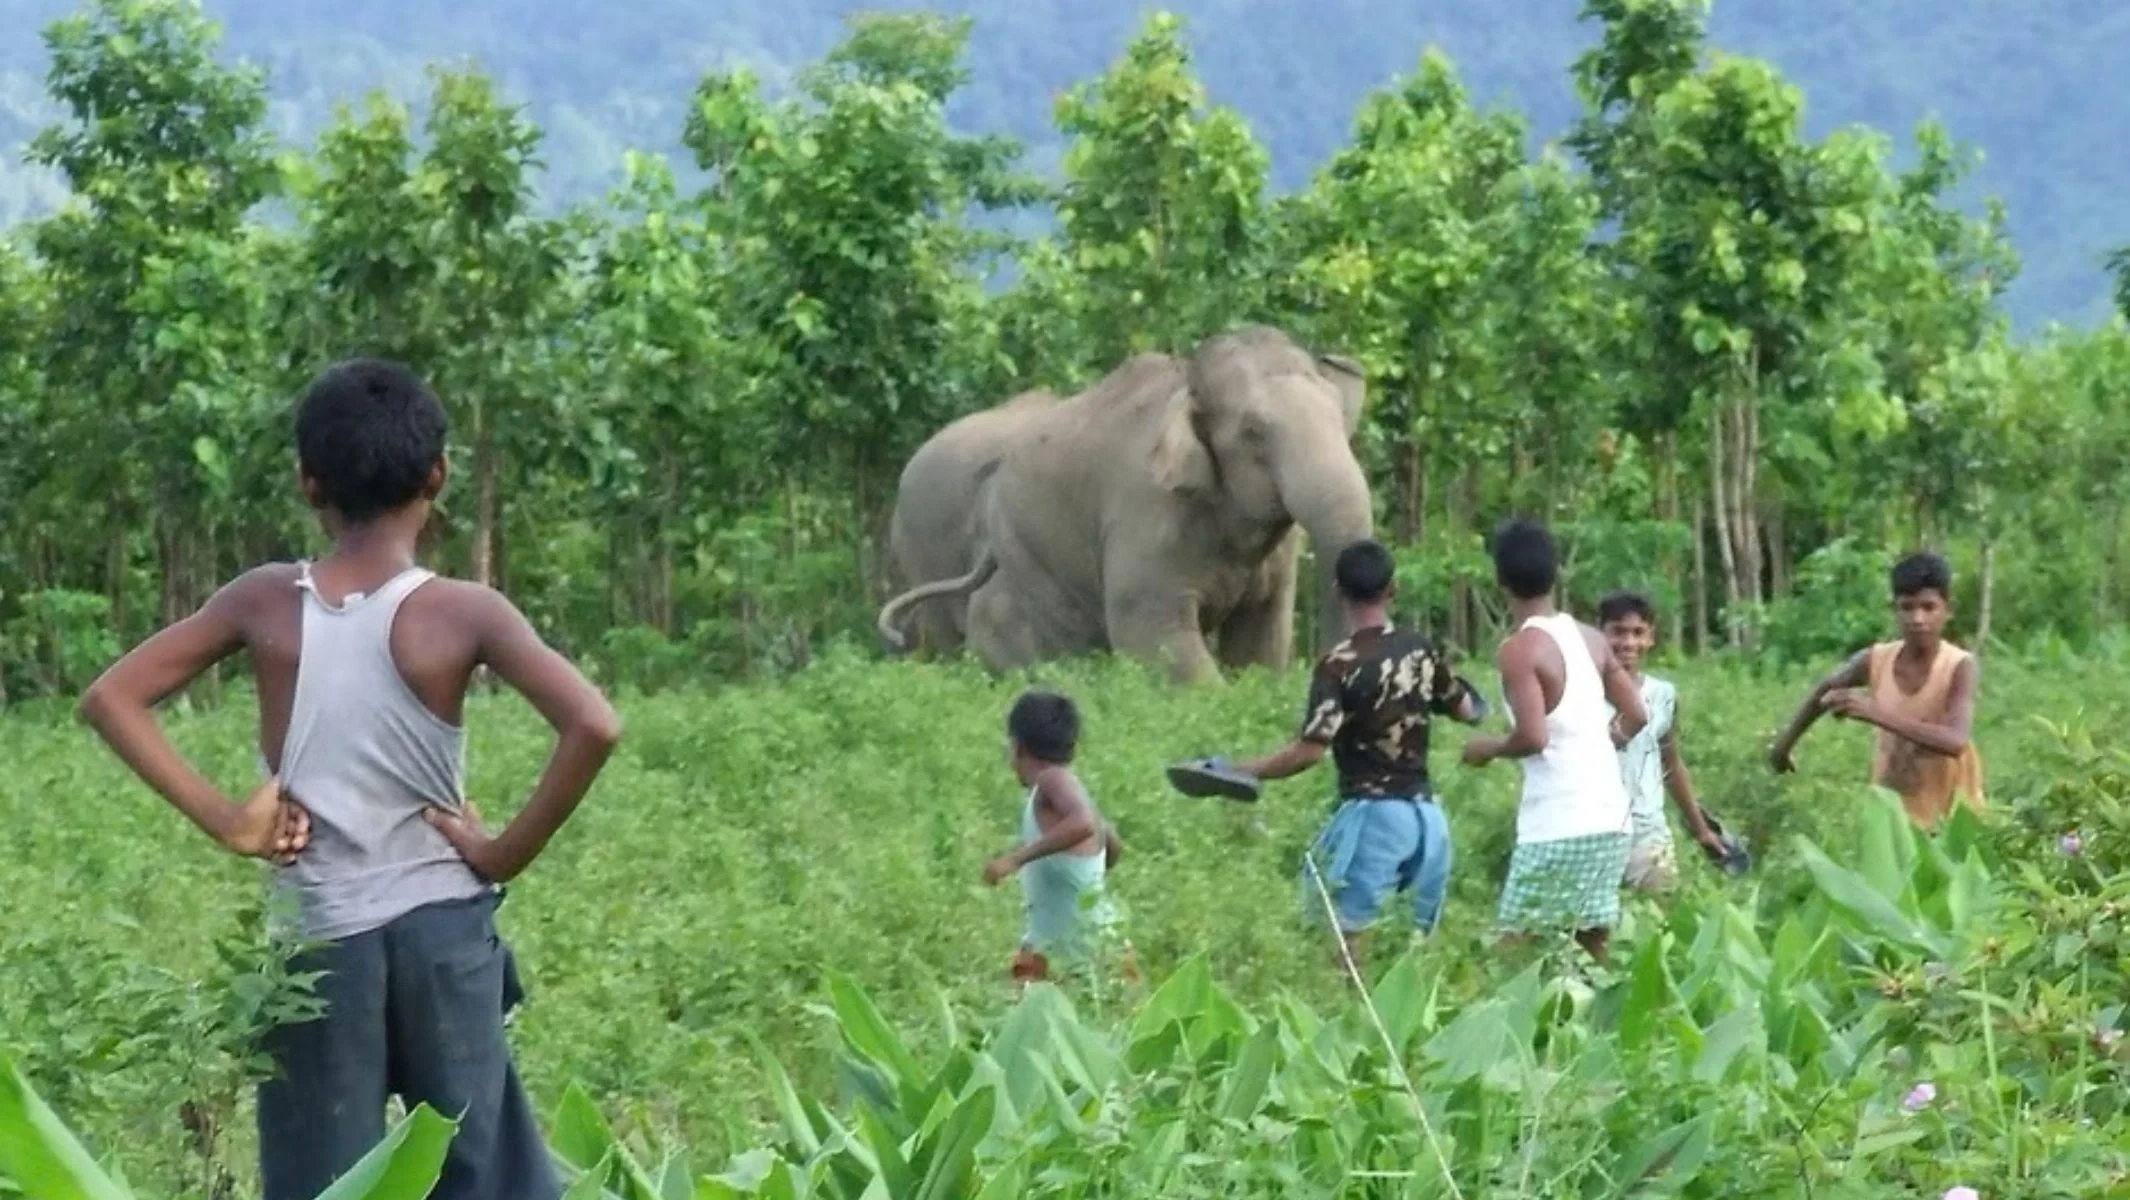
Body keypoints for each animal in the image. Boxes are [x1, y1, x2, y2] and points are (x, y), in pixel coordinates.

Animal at [876, 325, 1374, 684]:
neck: (1186, 382)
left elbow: (1261, 638)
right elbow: (1153, 634)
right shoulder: (1148, 516)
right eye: (1253, 432)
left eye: (1339, 416)